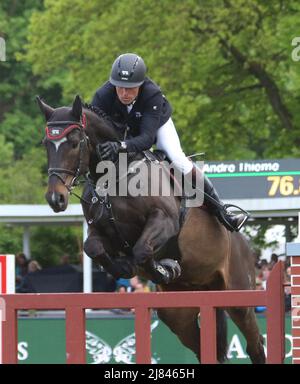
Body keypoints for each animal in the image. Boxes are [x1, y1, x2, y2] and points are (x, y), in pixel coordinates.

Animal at [37, 95, 264, 364]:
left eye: (73, 143)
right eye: (46, 144)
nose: (56, 198)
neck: (114, 176)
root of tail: (243, 243)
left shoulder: (164, 221)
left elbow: (142, 250)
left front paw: (163, 268)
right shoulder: (101, 231)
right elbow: (93, 247)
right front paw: (132, 266)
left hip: (239, 297)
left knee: (255, 345)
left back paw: (229, 217)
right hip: (180, 314)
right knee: (207, 349)